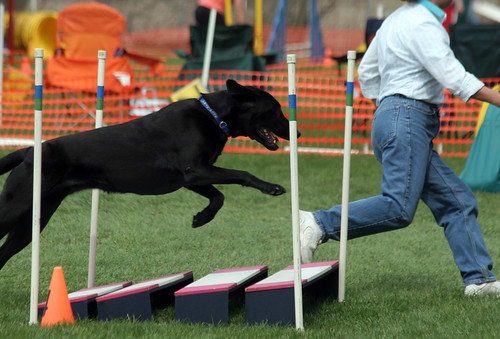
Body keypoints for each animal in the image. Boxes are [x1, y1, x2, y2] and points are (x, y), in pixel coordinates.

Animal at [0, 79, 296, 270]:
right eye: (276, 109)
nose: (299, 132)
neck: (213, 116)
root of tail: (29, 150)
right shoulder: (196, 171)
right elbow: (242, 174)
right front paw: (271, 187)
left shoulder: (192, 177)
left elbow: (218, 197)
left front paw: (201, 218)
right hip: (16, 207)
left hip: (33, 222)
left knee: (3, 253)